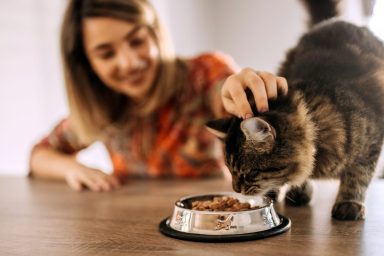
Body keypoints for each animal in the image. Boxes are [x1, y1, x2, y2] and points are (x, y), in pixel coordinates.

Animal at [207, 0, 384, 220]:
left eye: (250, 173)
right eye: (229, 170)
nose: (235, 189)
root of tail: (332, 21)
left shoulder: (371, 142)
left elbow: (358, 175)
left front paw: (349, 203)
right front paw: (299, 190)